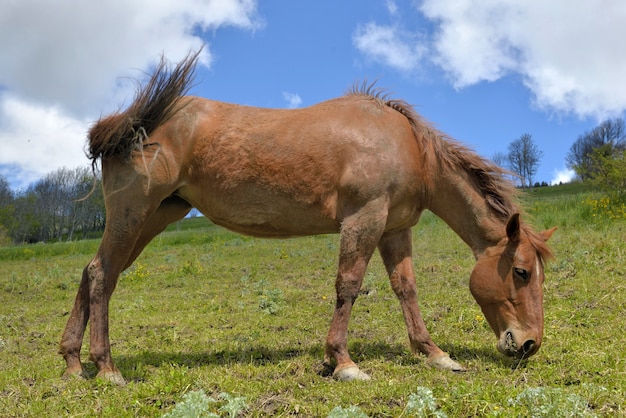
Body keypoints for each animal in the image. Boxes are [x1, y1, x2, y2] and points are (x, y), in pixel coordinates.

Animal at [59, 50, 552, 384]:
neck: (406, 145)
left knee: (93, 272)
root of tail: (124, 124)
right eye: (521, 272)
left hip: (153, 218)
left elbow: (406, 289)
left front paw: (434, 354)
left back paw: (72, 363)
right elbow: (348, 286)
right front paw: (343, 362)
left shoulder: (395, 229)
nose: (529, 344)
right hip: (133, 214)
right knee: (102, 276)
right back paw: (107, 368)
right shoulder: (364, 220)